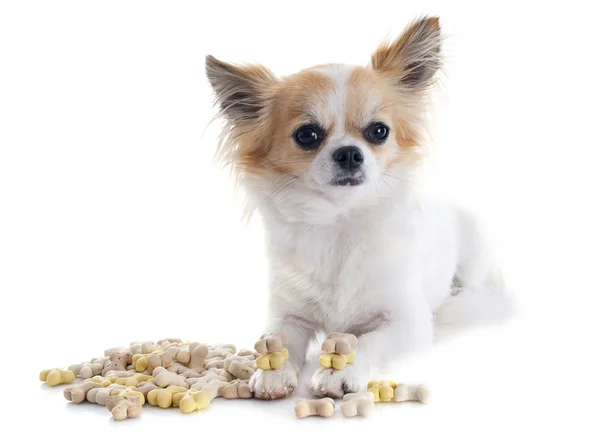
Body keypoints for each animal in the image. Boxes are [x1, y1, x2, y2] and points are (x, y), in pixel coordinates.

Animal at [205, 17, 510, 402]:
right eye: (307, 135)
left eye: (378, 131)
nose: (349, 152)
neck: (341, 223)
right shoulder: (287, 313)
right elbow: (279, 340)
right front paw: (272, 372)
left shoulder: (407, 322)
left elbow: (367, 342)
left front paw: (342, 372)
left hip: (473, 253)